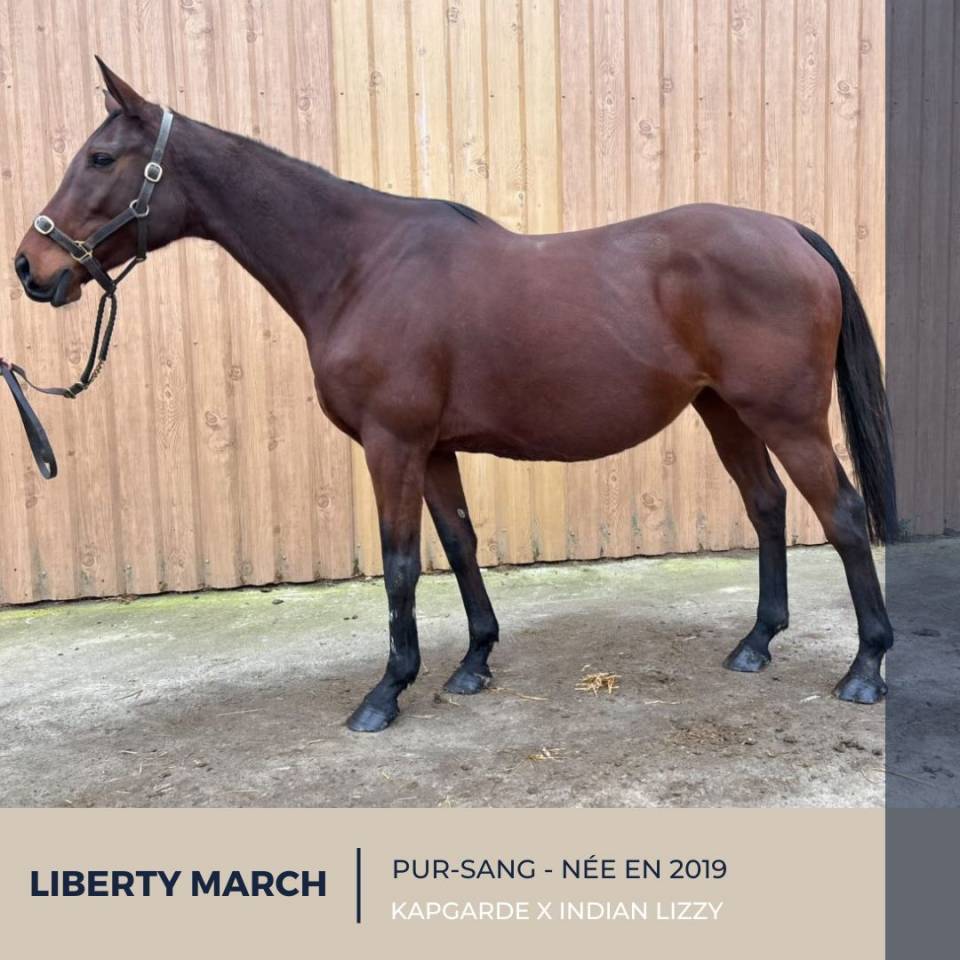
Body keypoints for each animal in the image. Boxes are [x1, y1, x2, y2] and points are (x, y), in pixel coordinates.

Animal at [14, 60, 896, 733]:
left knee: (844, 517)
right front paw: (473, 662)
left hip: (788, 418)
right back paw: (756, 644)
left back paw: (865, 668)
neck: (359, 264)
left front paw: (384, 692)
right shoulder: (433, 448)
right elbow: (462, 543)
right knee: (767, 508)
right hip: (726, 413)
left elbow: (401, 564)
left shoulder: (392, 443)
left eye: (101, 158)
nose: (30, 266)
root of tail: (791, 233)